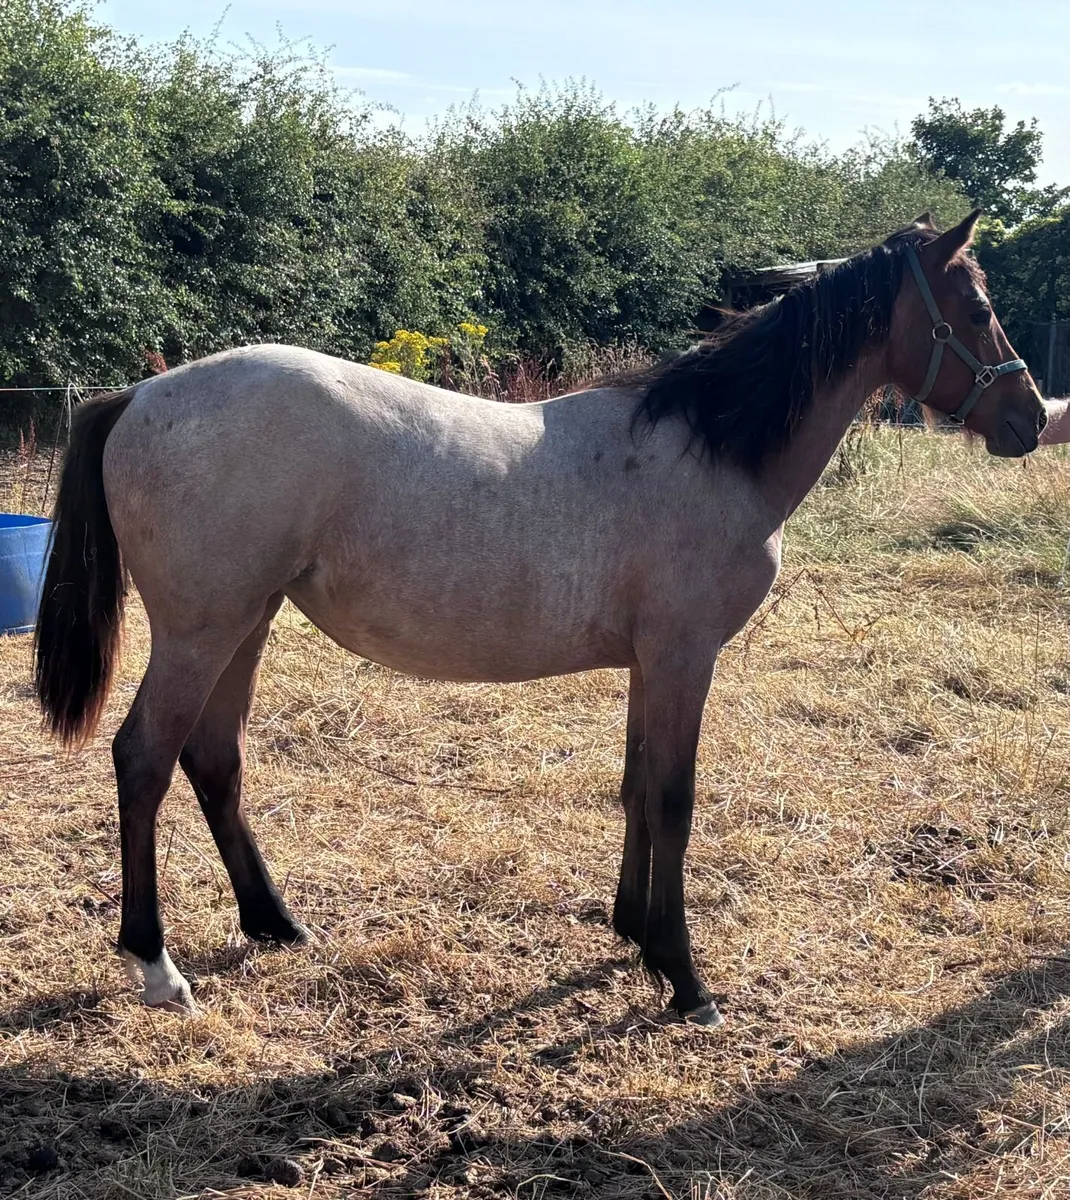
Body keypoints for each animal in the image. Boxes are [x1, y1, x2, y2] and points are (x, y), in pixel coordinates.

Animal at [33, 210, 1045, 1025]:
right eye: (976, 307)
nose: (1031, 417)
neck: (708, 451)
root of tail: (142, 394)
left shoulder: (650, 661)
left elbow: (637, 786)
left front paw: (632, 933)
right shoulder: (684, 655)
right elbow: (673, 799)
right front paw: (686, 979)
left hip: (245, 625)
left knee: (213, 758)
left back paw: (276, 922)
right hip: (200, 632)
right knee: (145, 759)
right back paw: (157, 966)